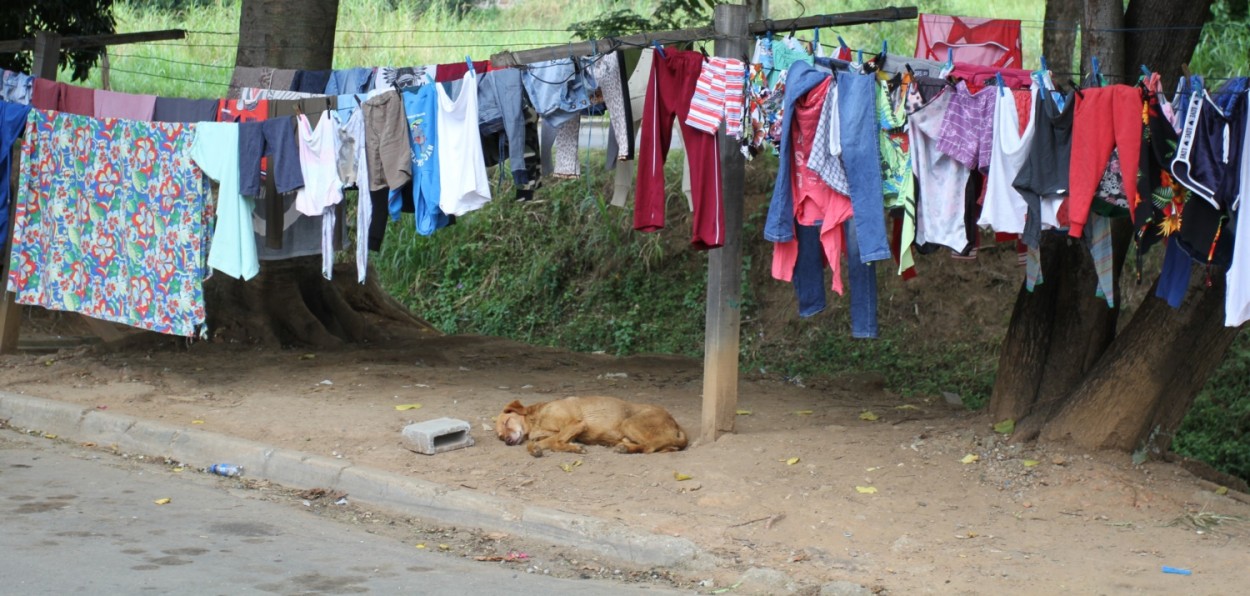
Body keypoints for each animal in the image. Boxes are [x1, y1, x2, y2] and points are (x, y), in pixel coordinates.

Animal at [492, 394, 690, 454]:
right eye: (500, 437)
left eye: (507, 422)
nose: (507, 441)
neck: (536, 420)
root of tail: (676, 425)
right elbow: (543, 442)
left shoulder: (577, 424)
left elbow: (554, 441)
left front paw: (572, 448)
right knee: (663, 446)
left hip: (629, 423)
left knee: (650, 446)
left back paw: (625, 448)